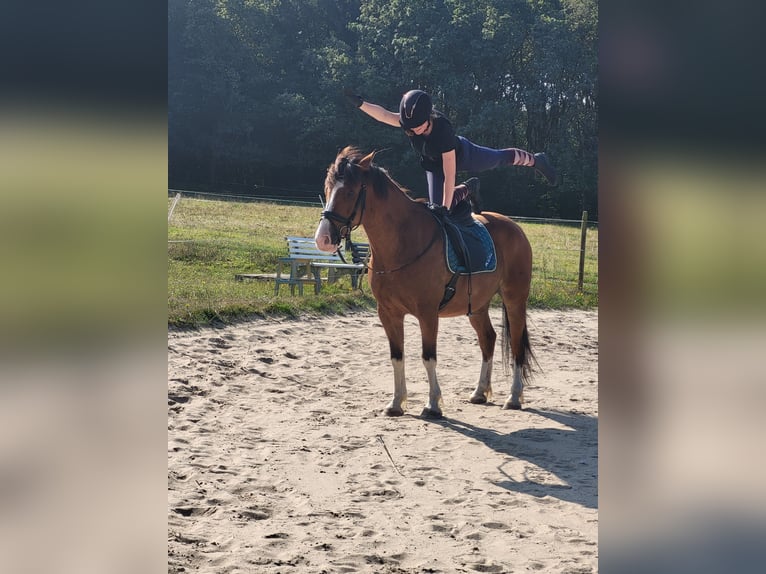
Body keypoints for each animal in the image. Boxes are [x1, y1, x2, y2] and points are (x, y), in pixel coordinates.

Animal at [316, 146, 536, 418]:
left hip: (514, 299)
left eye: (349, 191)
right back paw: (479, 392)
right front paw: (396, 402)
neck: (404, 242)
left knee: (516, 343)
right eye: (327, 188)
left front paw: (432, 404)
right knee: (488, 339)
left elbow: (428, 357)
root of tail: (514, 227)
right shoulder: (387, 313)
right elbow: (397, 357)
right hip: (477, 306)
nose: (323, 239)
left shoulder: (428, 313)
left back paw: (514, 397)